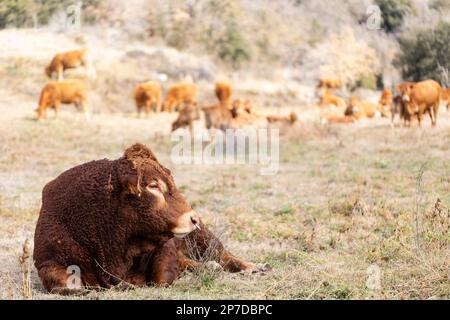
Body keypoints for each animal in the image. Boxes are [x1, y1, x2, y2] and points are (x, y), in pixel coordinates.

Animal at [34, 144, 260, 294]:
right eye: (153, 185)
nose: (193, 218)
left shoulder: (165, 246)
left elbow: (161, 276)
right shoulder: (47, 261)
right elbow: (66, 283)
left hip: (203, 237)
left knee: (221, 254)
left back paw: (248, 267)